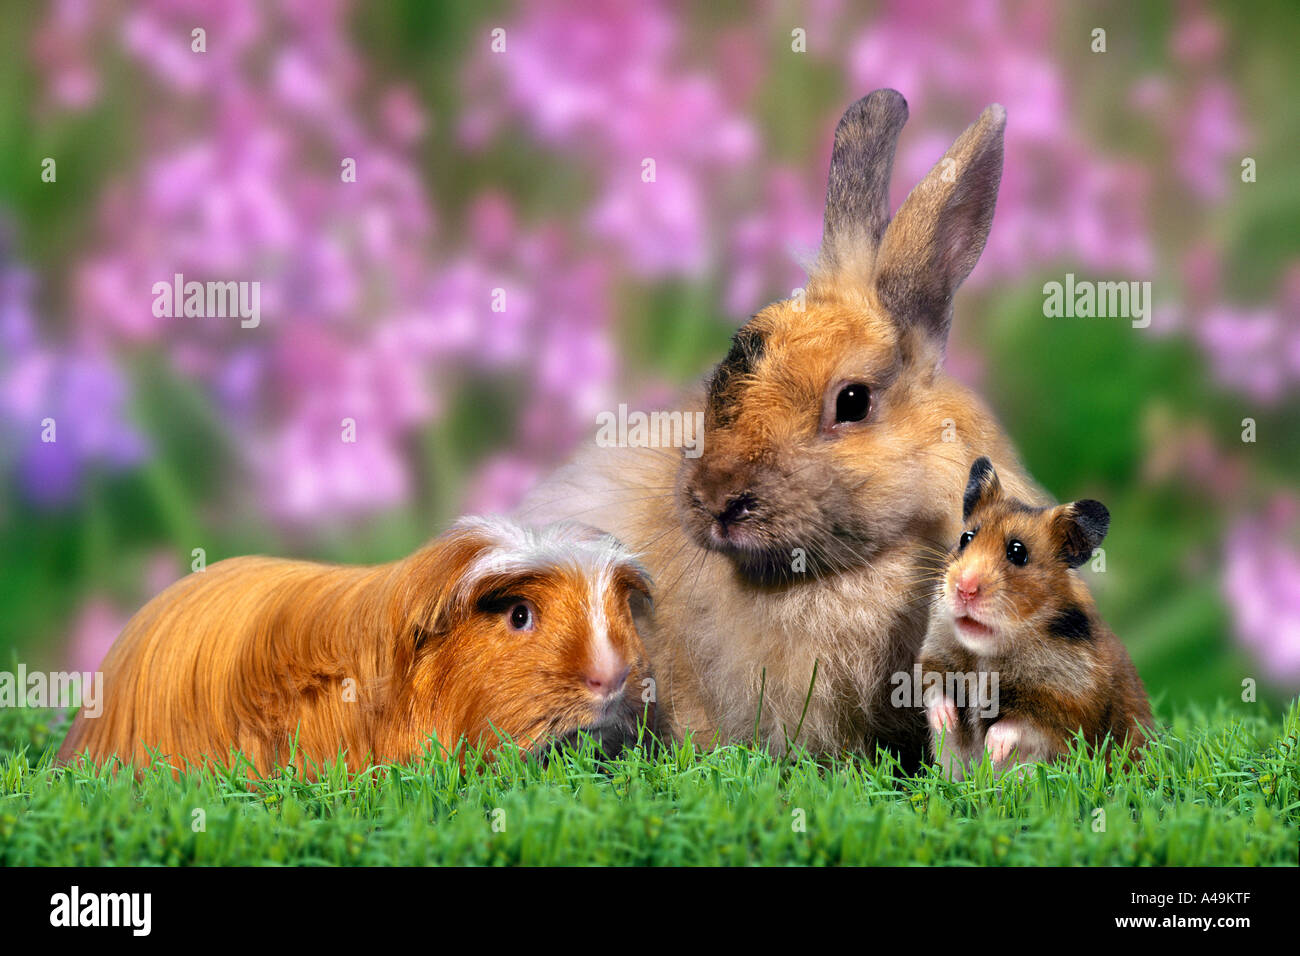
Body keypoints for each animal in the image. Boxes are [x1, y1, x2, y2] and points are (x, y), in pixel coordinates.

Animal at [920, 458, 1154, 779]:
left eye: (1018, 552)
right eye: (965, 538)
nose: (964, 588)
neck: (987, 653)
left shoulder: (1065, 705)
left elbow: (1018, 724)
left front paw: (991, 749)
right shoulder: (934, 658)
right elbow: (935, 691)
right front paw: (947, 721)